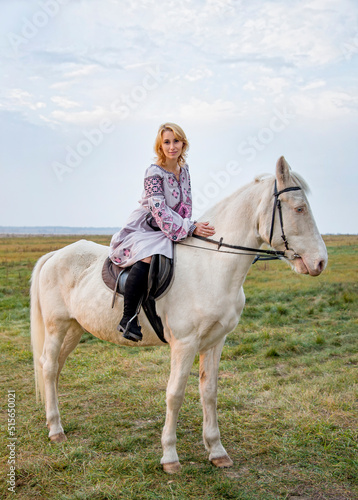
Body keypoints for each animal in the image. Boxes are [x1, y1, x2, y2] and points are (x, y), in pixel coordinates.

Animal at [30, 156, 328, 472]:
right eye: (299, 208)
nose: (320, 262)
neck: (211, 265)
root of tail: (56, 255)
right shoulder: (184, 344)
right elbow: (175, 395)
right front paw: (170, 456)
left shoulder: (215, 342)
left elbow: (209, 392)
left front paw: (216, 450)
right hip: (57, 326)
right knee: (49, 366)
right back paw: (55, 429)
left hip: (75, 328)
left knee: (55, 368)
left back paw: (54, 420)